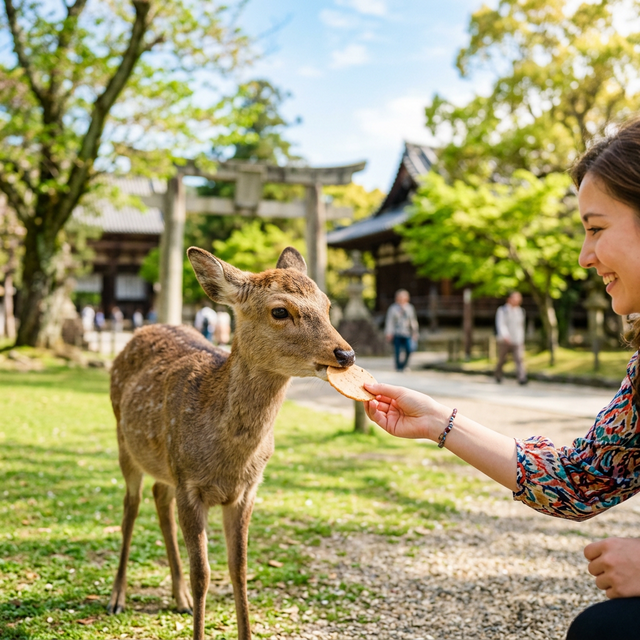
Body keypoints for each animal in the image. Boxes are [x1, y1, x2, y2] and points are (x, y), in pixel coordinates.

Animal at [106, 246, 355, 640]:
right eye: (280, 311)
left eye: (327, 305)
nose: (345, 354)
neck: (229, 459)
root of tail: (140, 331)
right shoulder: (190, 486)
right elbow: (203, 574)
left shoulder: (245, 491)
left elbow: (239, 570)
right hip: (124, 441)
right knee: (130, 507)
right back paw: (117, 597)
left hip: (165, 464)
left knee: (159, 497)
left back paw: (178, 597)